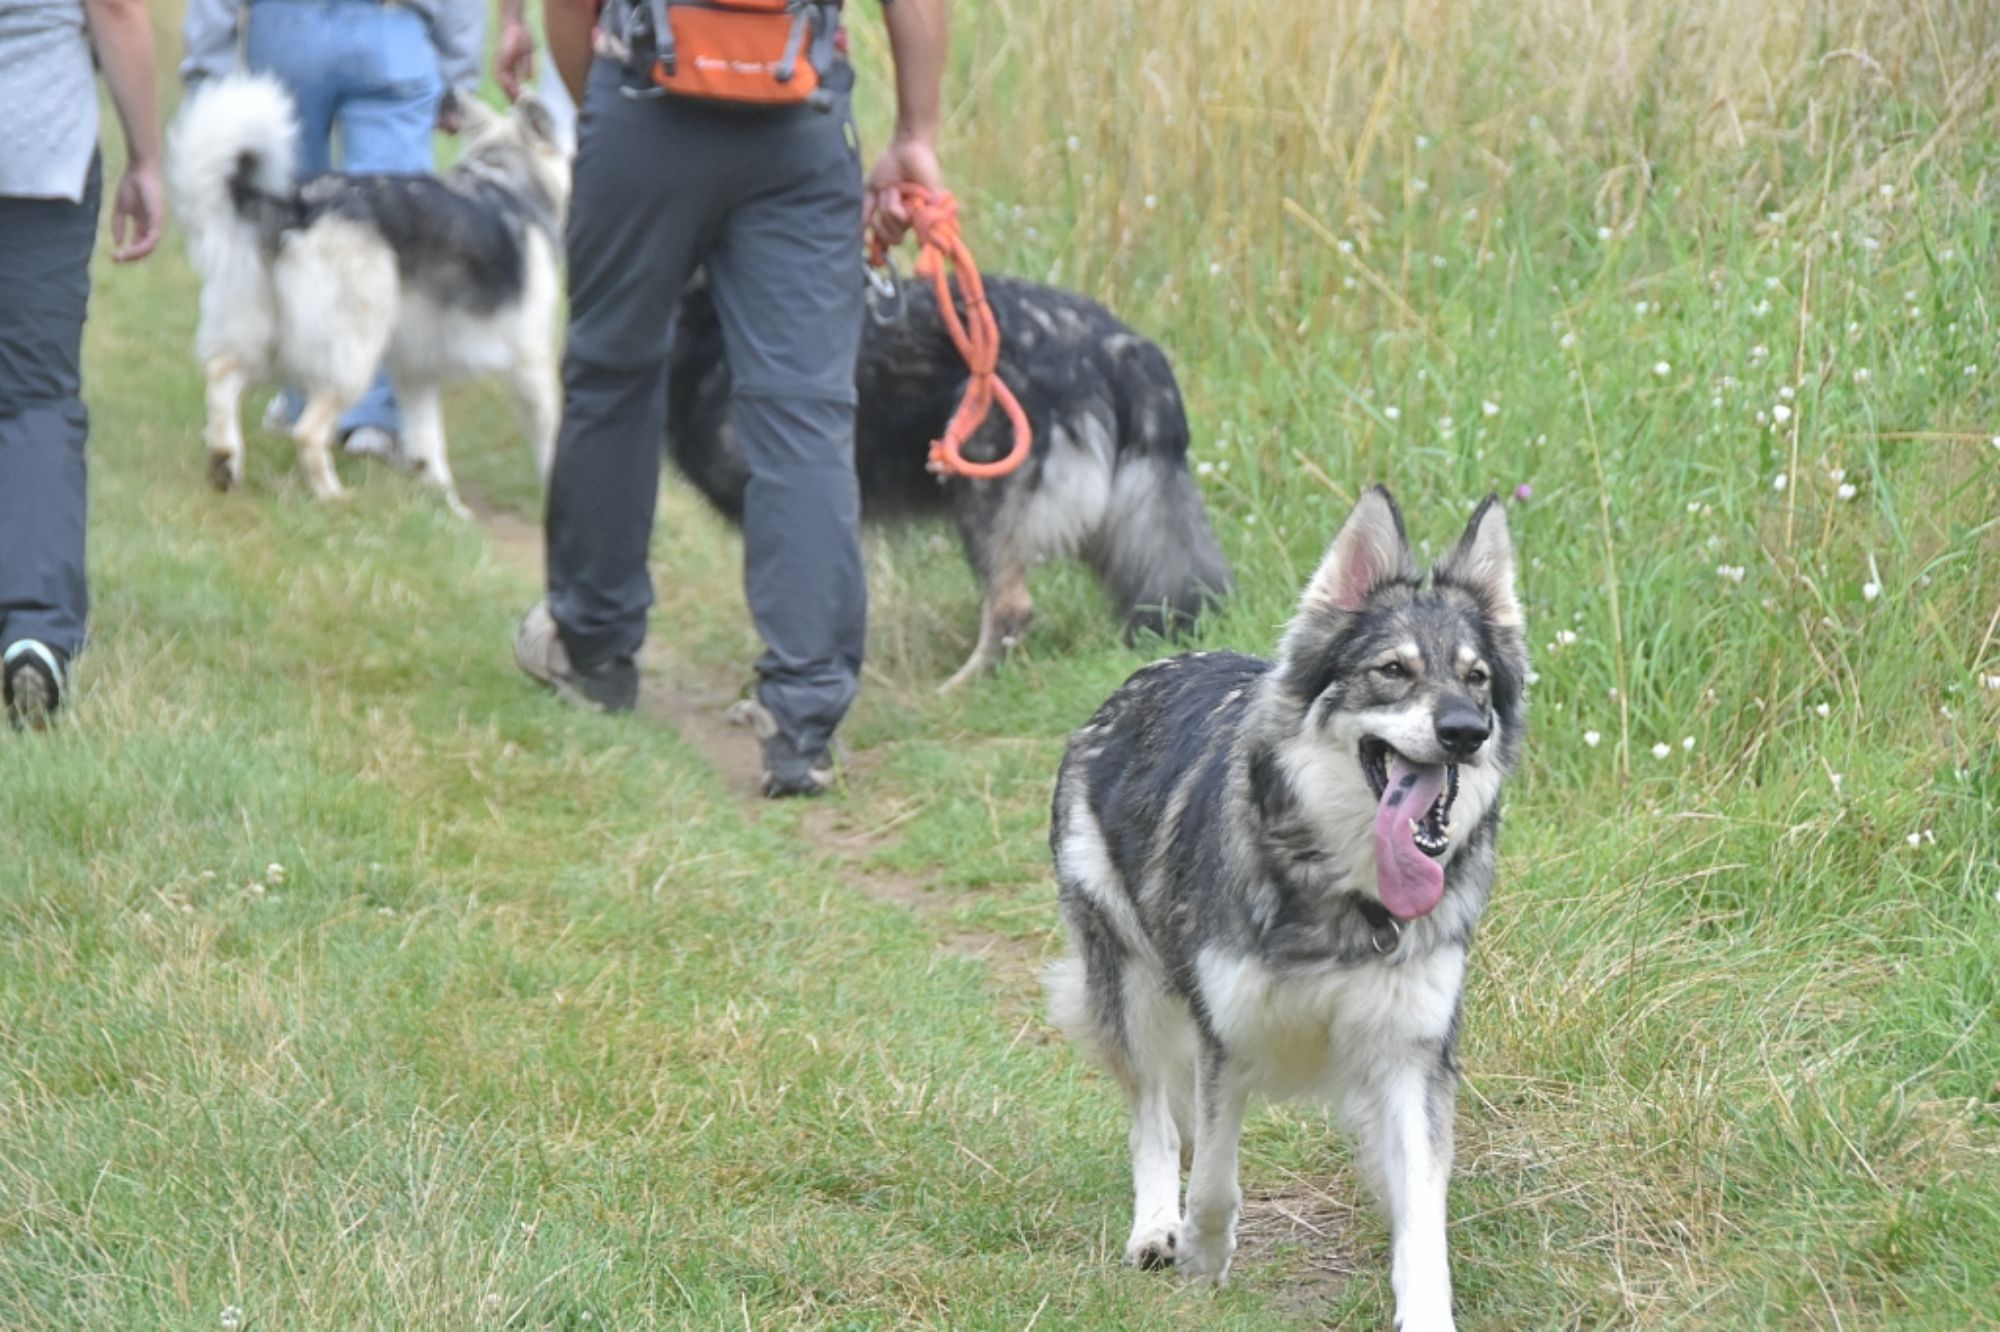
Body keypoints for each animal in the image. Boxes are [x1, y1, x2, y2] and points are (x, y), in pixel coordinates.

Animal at [167, 76, 569, 516]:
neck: (506, 178)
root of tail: (299, 207)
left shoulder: (417, 374)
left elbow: (429, 451)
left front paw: (449, 511)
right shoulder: (531, 366)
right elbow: (550, 443)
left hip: (268, 345)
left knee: (222, 377)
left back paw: (225, 462)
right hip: (350, 360)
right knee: (307, 432)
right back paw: (334, 498)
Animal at [1045, 486, 1526, 1329]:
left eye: (1475, 678)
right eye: (1392, 670)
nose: (1466, 733)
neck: (1346, 894)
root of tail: (1138, 680)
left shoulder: (1411, 1058)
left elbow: (1422, 1222)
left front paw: (1426, 1313)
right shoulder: (1226, 1038)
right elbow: (1213, 1178)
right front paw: (1202, 1257)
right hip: (1129, 988)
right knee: (1152, 1115)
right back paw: (1154, 1227)